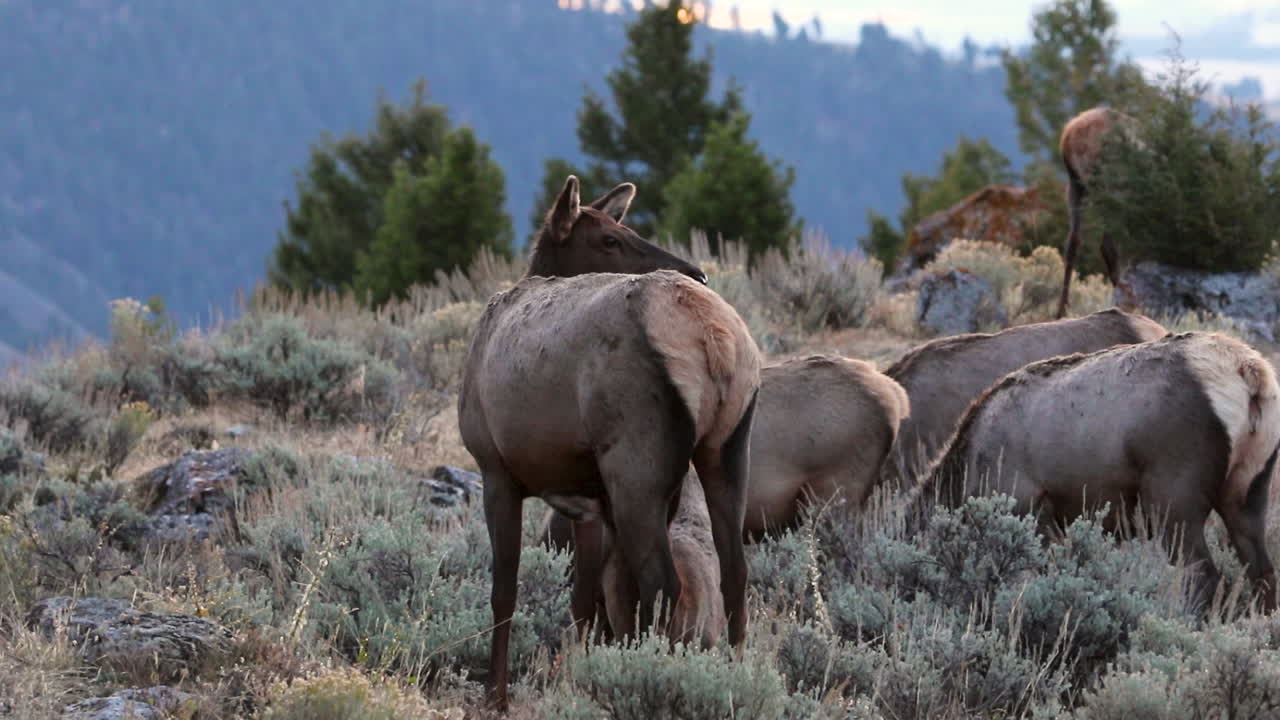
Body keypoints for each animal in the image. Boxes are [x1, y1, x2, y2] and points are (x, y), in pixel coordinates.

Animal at [459, 175, 762, 711]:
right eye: (611, 238)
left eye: (623, 230)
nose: (699, 273)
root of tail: (714, 339)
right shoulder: (588, 502)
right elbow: (586, 597)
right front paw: (572, 676)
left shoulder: (494, 467)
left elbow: (505, 588)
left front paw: (497, 695)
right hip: (725, 448)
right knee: (733, 572)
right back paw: (729, 679)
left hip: (636, 458)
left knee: (663, 582)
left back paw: (654, 676)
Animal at [910, 331, 1280, 613]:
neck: (967, 469)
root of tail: (1251, 373)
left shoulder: (1031, 506)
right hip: (1249, 489)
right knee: (1262, 571)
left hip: (1173, 495)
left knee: (1204, 575)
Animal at [1056, 105, 1144, 319]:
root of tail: (1071, 135)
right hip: (1109, 185)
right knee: (1106, 244)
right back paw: (1126, 298)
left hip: (1076, 185)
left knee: (1073, 242)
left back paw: (1061, 311)